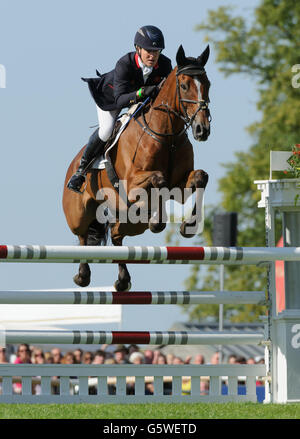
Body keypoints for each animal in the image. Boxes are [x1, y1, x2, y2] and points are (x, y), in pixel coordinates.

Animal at [61, 45, 211, 292]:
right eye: (184, 85)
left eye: (208, 83)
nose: (202, 129)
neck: (168, 135)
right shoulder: (132, 183)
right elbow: (159, 179)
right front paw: (158, 221)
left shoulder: (180, 185)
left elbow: (200, 177)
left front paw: (188, 225)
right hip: (80, 213)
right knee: (83, 238)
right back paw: (82, 275)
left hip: (130, 222)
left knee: (116, 236)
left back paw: (123, 279)